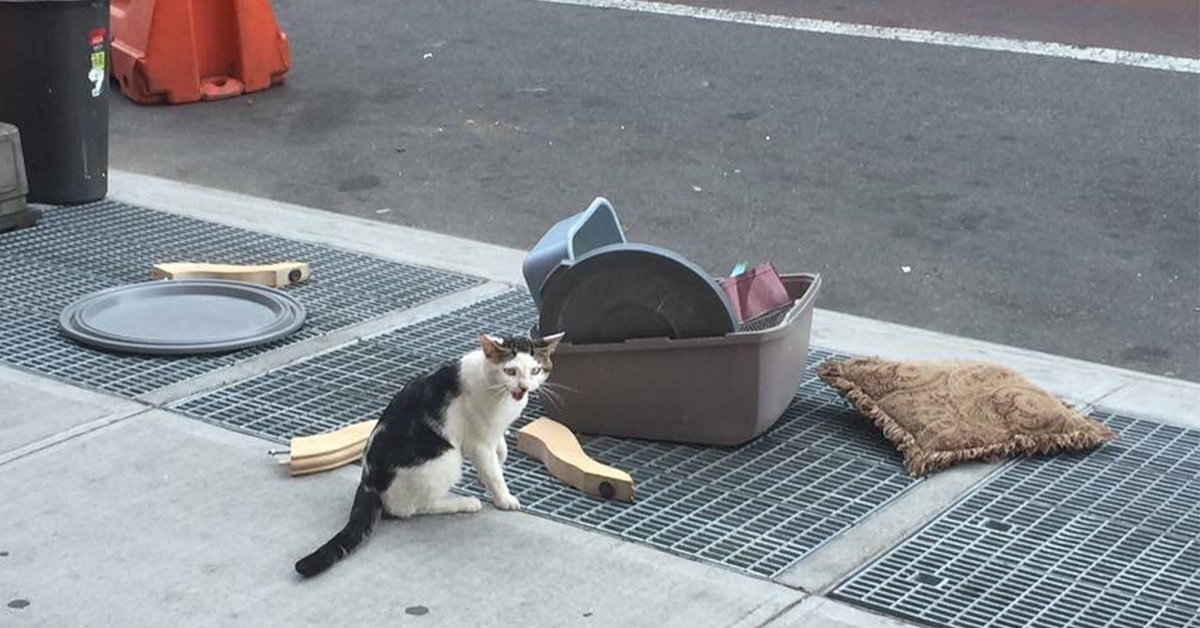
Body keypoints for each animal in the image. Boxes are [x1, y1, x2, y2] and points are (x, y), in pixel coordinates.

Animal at [297, 331, 564, 578]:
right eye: (510, 371)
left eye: (535, 370)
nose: (524, 387)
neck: (499, 394)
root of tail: (369, 480)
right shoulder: (477, 443)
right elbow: (493, 474)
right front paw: (504, 498)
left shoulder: (494, 433)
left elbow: (500, 452)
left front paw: (496, 464)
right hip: (446, 458)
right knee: (411, 508)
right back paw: (463, 502)